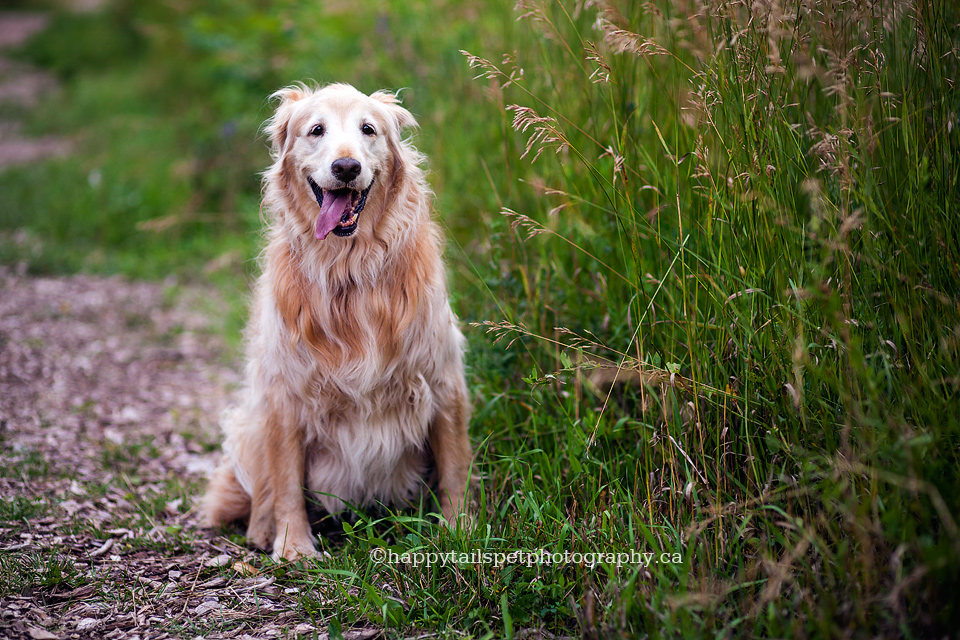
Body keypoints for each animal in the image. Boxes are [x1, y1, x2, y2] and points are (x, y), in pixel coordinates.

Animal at [203, 81, 472, 560]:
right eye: (316, 130)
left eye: (368, 129)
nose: (346, 167)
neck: (348, 267)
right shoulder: (285, 393)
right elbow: (286, 482)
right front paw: (293, 546)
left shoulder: (443, 378)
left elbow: (455, 467)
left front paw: (459, 532)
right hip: (249, 424)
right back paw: (261, 530)